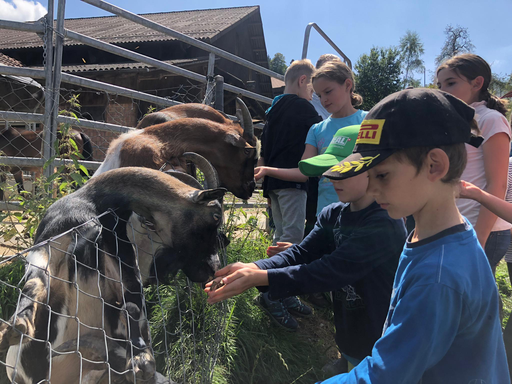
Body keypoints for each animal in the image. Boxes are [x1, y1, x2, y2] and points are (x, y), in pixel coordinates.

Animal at [0, 157, 226, 384]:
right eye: (216, 216)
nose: (214, 268)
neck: (89, 206)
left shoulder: (116, 258)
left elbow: (131, 304)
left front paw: (140, 359)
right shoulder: (52, 246)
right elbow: (35, 282)